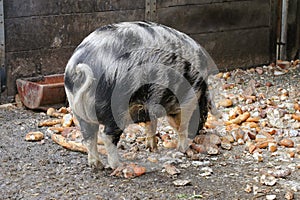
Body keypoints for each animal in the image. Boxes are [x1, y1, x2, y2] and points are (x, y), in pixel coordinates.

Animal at [64, 21, 217, 170]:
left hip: (80, 114)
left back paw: (97, 165)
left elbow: (151, 124)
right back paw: (118, 166)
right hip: (116, 107)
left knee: (89, 137)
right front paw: (183, 148)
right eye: (204, 113)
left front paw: (152, 148)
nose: (199, 131)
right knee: (107, 136)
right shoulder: (187, 101)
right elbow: (181, 126)